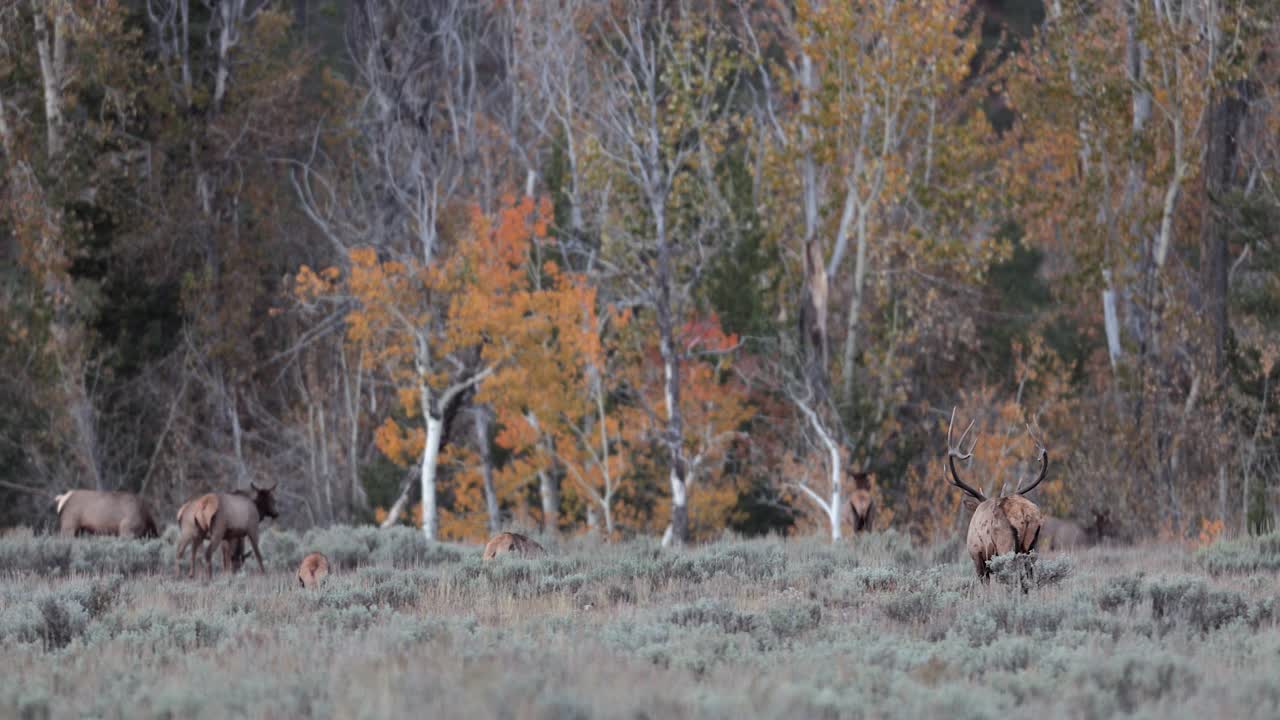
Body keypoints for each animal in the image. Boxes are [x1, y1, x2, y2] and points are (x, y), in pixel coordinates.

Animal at [942, 407, 1049, 586]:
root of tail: (1025, 514)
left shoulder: (977, 555)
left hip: (1005, 545)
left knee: (1014, 577)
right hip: (1032, 547)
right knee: (1029, 579)